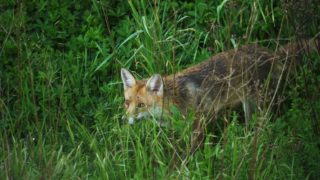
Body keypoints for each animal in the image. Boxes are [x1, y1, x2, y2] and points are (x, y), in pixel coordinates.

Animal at [121, 38, 318, 152]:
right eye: (127, 103)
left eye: (141, 105)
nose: (124, 120)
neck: (174, 101)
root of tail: (270, 52)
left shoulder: (198, 125)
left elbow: (188, 155)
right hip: (248, 105)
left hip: (264, 104)